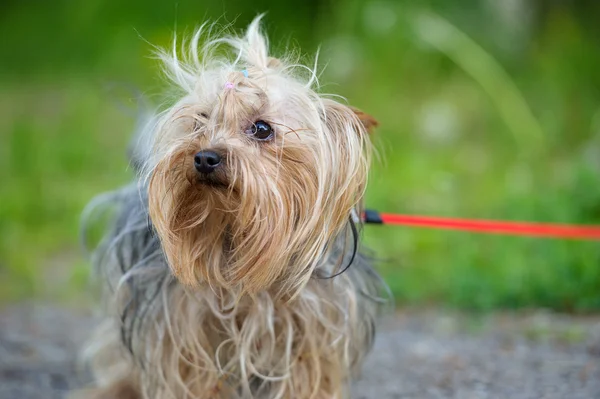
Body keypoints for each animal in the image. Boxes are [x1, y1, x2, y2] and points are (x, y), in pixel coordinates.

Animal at [81, 17, 390, 398]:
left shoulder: (313, 326)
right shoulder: (182, 323)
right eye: (199, 121)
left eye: (262, 129)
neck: (232, 231)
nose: (204, 157)